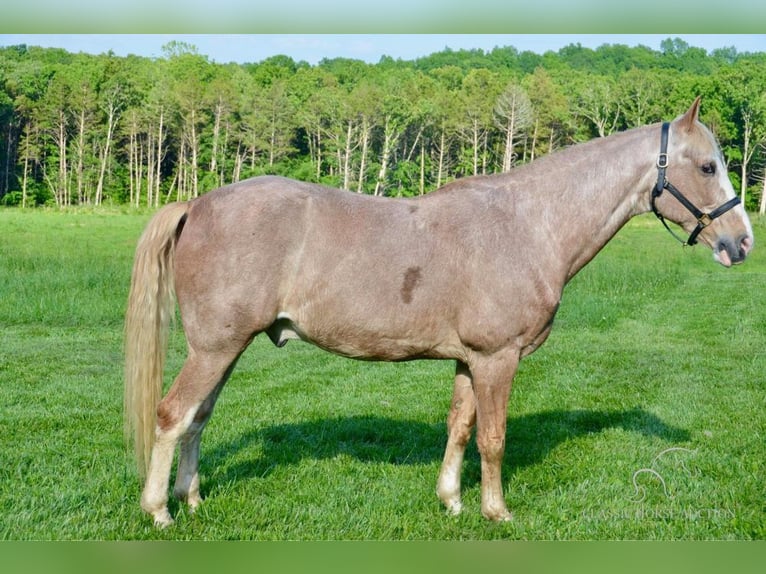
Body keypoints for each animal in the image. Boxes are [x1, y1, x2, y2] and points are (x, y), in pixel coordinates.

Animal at [126, 97, 756, 528]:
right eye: (707, 167)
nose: (741, 242)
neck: (528, 224)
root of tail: (197, 204)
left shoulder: (468, 360)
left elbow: (460, 427)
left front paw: (451, 499)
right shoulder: (498, 358)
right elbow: (493, 437)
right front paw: (496, 512)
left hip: (224, 349)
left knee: (198, 418)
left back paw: (191, 498)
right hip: (215, 348)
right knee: (172, 414)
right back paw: (158, 510)